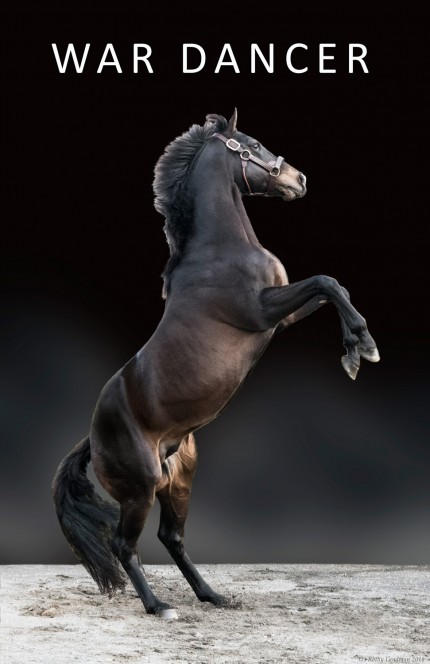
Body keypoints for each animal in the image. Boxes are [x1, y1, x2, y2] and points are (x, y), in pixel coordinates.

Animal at [52, 109, 380, 619]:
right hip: (141, 488)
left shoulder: (280, 316)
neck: (219, 250)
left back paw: (214, 595)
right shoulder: (262, 311)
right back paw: (160, 606)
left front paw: (353, 349)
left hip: (179, 480)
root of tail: (92, 438)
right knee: (126, 546)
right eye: (253, 143)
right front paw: (362, 347)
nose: (299, 180)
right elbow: (326, 281)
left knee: (172, 537)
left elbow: (332, 287)